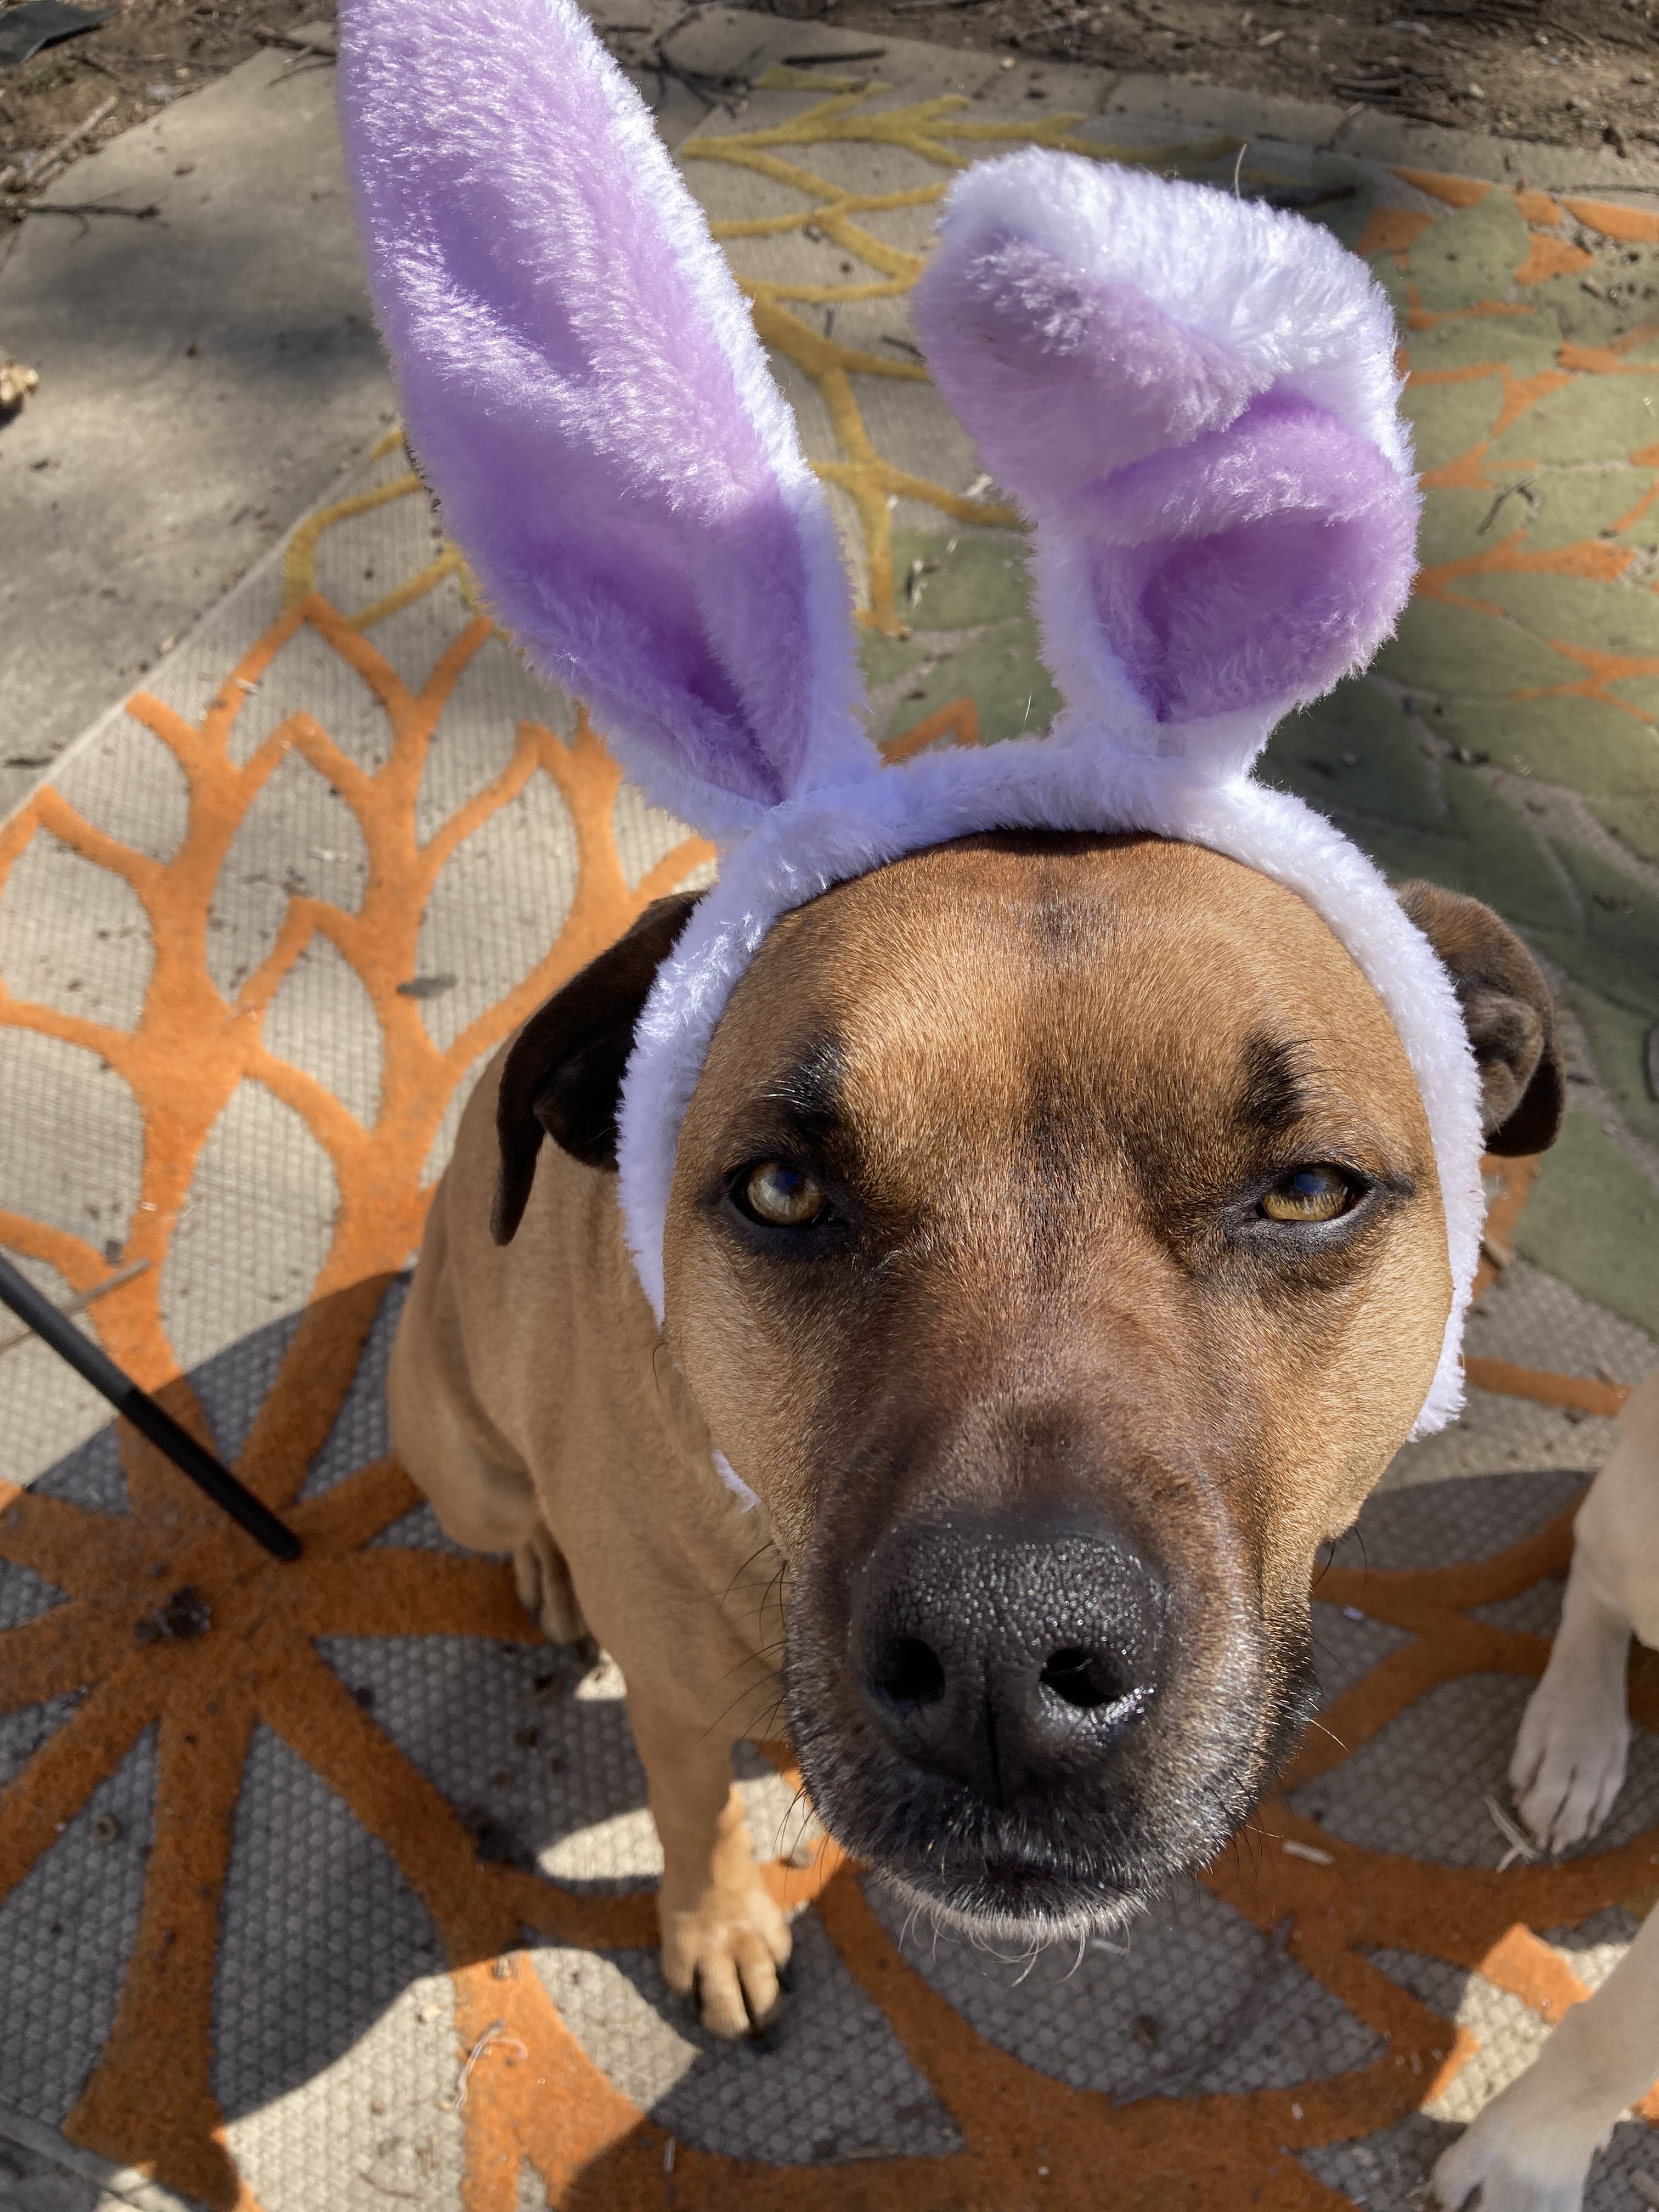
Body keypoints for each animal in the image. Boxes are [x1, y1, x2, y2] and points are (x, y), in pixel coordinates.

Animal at [390, 849, 1562, 2034]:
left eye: (1310, 1191)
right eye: (782, 1189)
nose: (996, 1652)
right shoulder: (674, 1707)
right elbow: (694, 1812)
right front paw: (717, 1928)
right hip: (467, 1463)